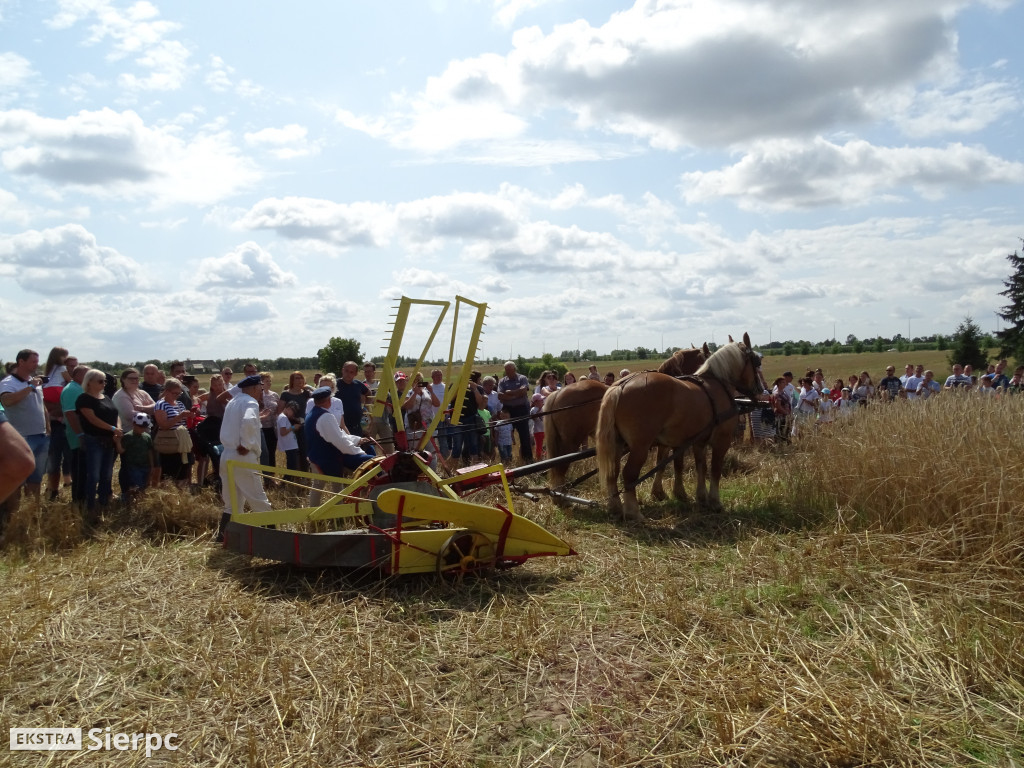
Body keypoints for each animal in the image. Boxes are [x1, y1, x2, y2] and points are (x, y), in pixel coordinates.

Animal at [544, 348, 704, 501]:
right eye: (704, 357)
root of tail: (556, 394)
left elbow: (661, 464)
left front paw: (659, 493)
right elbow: (667, 464)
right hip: (570, 441)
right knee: (560, 467)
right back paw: (561, 498)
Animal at [598, 335, 765, 524]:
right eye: (756, 362)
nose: (760, 390)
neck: (717, 384)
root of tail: (621, 386)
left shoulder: (697, 441)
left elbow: (700, 467)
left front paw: (700, 497)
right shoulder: (721, 440)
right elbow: (714, 469)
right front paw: (714, 502)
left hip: (617, 443)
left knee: (613, 472)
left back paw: (615, 508)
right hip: (640, 446)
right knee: (629, 474)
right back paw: (634, 512)